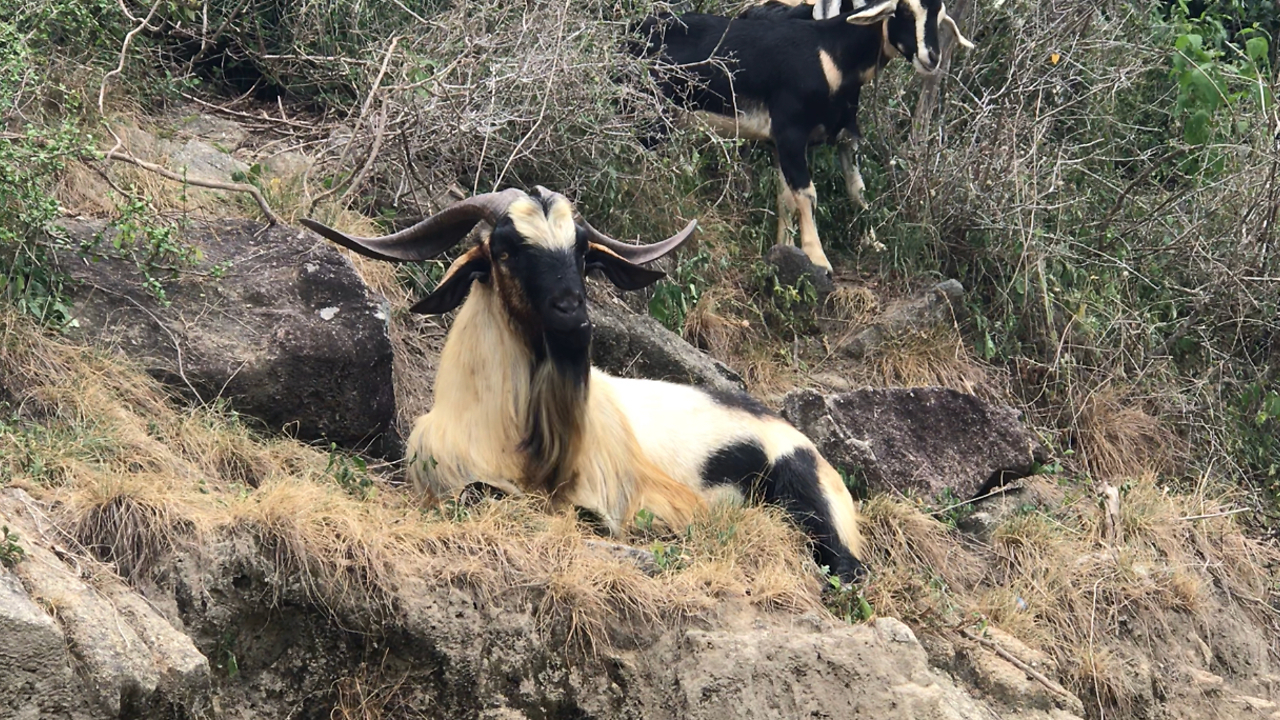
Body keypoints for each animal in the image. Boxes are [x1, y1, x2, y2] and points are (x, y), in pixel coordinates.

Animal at [299, 188, 865, 579]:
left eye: (581, 252)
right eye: (506, 250)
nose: (573, 316)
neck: (521, 441)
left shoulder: (618, 498)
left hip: (807, 499)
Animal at [634, 0, 972, 271]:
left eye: (940, 15)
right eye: (903, 10)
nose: (932, 58)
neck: (830, 54)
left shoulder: (835, 136)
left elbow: (845, 191)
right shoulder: (790, 133)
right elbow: (807, 194)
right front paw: (818, 259)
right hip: (651, 114)